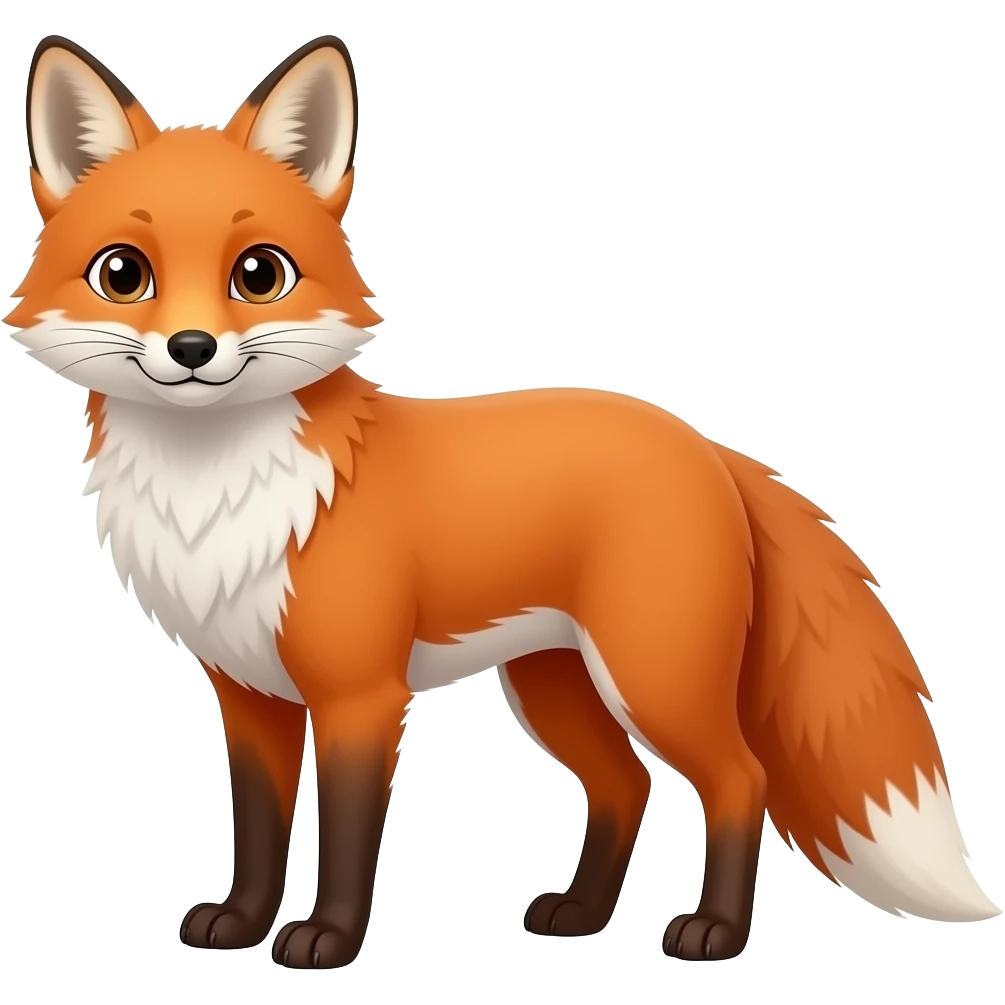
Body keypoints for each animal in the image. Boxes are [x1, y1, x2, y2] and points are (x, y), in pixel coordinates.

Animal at [8, 32, 1000, 970]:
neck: (217, 495)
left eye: (259, 274)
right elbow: (257, 829)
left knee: (737, 779)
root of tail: (703, 443)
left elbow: (347, 836)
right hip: (556, 684)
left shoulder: (360, 696)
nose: (191, 347)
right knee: (626, 785)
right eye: (123, 274)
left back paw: (713, 931)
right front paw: (242, 922)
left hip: (653, 675)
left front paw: (327, 938)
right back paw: (581, 915)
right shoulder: (249, 691)